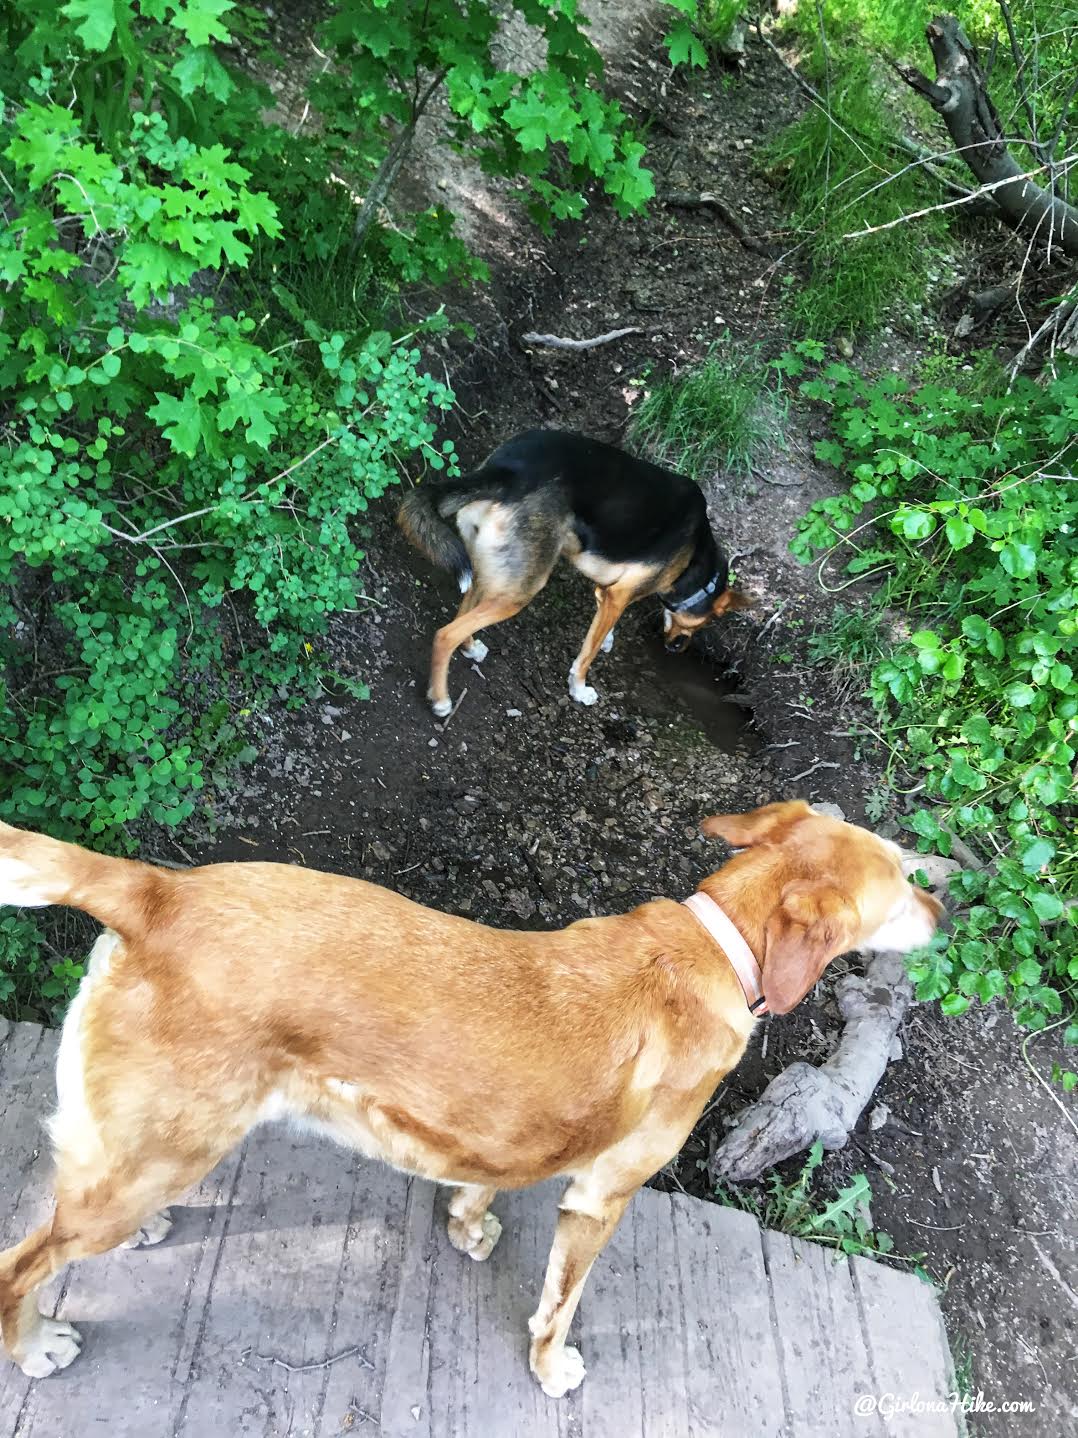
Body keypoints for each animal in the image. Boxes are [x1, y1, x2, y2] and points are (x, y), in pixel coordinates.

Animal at [0, 799, 942, 1391]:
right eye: (902, 883)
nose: (947, 909)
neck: (721, 945)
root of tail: (157, 890)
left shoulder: (502, 1136)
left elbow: (480, 1183)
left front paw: (469, 1225)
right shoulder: (600, 1200)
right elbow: (558, 1307)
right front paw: (551, 1370)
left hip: (145, 1154)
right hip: (158, 1157)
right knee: (23, 1264)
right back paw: (37, 1347)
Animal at [402, 425, 753, 719]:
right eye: (705, 622)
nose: (677, 648)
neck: (696, 557)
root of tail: (508, 471)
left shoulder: (607, 592)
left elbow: (602, 625)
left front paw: (607, 639)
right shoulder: (619, 595)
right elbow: (588, 653)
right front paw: (579, 688)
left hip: (491, 570)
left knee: (464, 612)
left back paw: (470, 647)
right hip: (519, 590)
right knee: (445, 634)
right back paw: (440, 698)